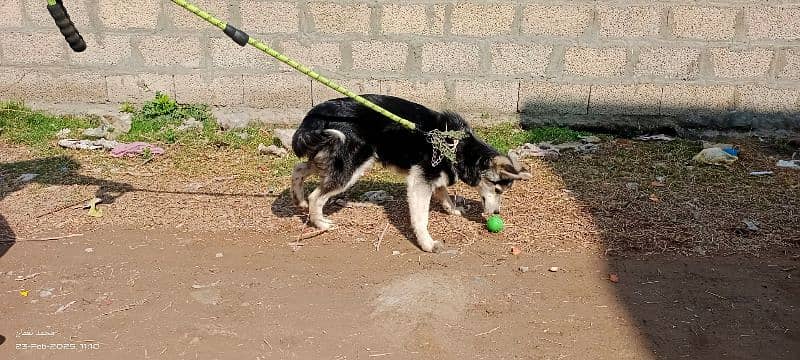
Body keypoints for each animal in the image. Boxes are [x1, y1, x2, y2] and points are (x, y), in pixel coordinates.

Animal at [290, 95, 532, 253]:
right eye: (497, 189)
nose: (497, 213)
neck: (457, 147)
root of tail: (315, 115)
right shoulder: (420, 181)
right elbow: (420, 218)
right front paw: (427, 243)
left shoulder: (435, 175)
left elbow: (443, 193)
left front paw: (452, 209)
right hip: (350, 168)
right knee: (316, 195)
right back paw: (320, 223)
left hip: (330, 159)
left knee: (299, 169)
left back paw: (299, 200)